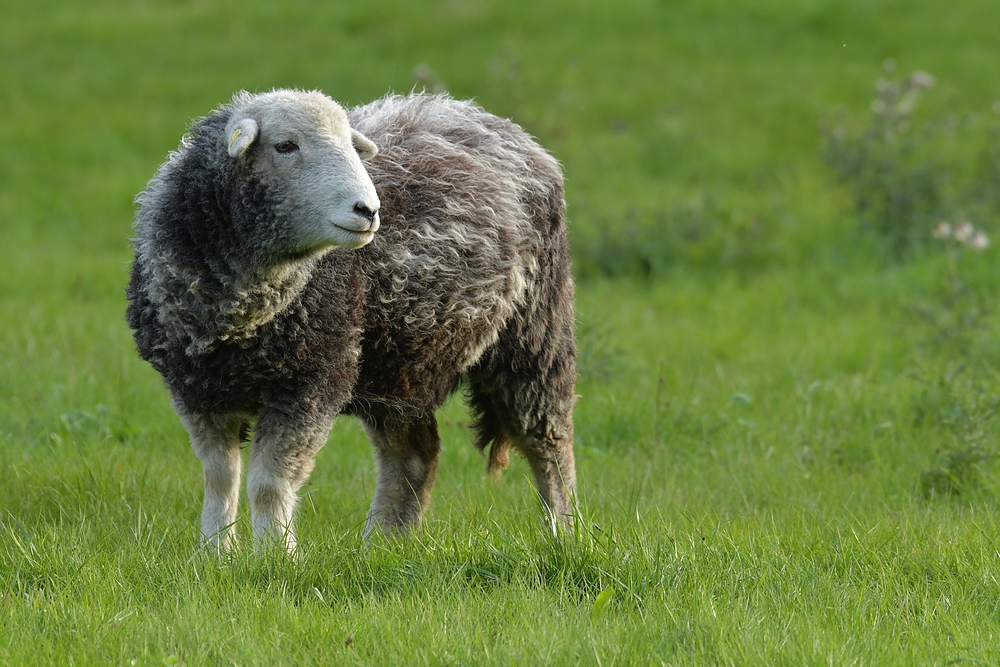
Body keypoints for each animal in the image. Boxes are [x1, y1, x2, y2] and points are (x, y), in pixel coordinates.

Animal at [126, 88, 580, 552]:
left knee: (549, 444)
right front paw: (214, 552)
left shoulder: (312, 382)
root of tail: (485, 116)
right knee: (413, 455)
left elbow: (269, 483)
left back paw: (565, 532)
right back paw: (384, 544)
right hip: (398, 363)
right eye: (285, 145)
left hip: (534, 335)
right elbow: (220, 477)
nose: (369, 210)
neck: (242, 318)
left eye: (350, 144)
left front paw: (274, 555)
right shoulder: (195, 389)